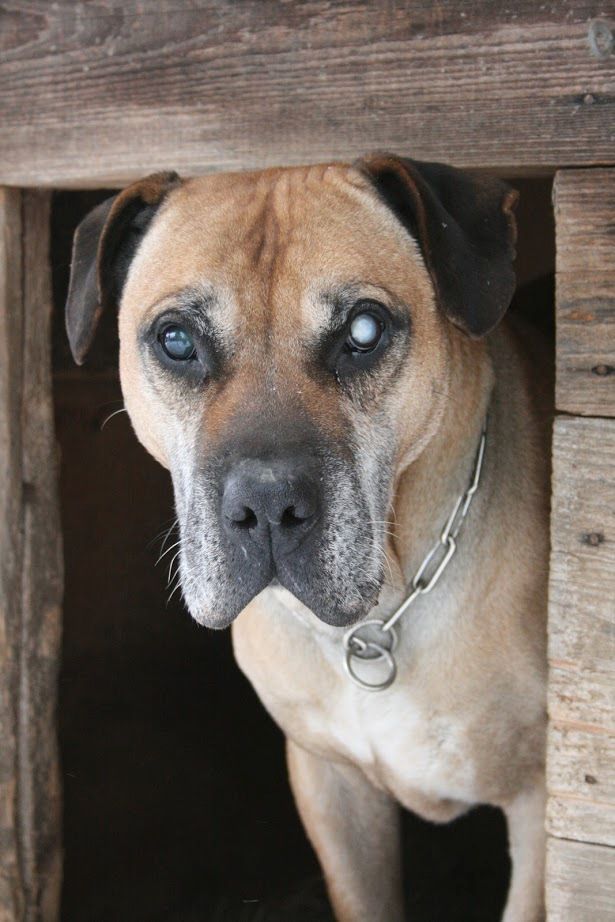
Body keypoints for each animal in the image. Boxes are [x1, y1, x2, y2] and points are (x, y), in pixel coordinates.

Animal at [65, 155, 552, 916]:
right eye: (176, 340)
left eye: (363, 330)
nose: (266, 506)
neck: (378, 620)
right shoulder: (331, 788)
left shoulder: (540, 810)